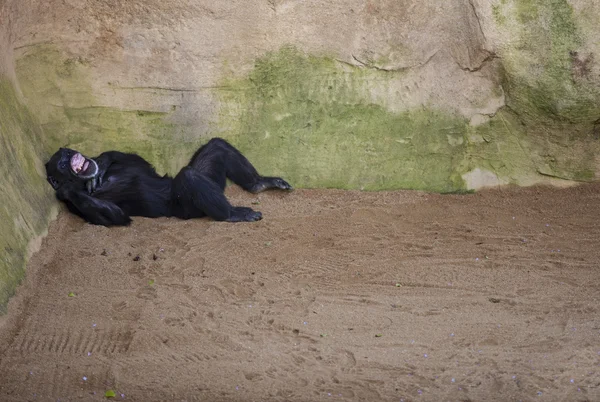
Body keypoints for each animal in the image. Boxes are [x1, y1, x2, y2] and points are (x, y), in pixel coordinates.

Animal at [44, 138, 292, 226]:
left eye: (67, 154)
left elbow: (142, 164)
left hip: (214, 180)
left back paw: (260, 183)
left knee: (216, 145)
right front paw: (65, 189)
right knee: (189, 177)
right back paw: (233, 214)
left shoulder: (126, 166)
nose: (67, 153)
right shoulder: (75, 207)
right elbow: (114, 216)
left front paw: (103, 160)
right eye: (62, 164)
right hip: (187, 209)